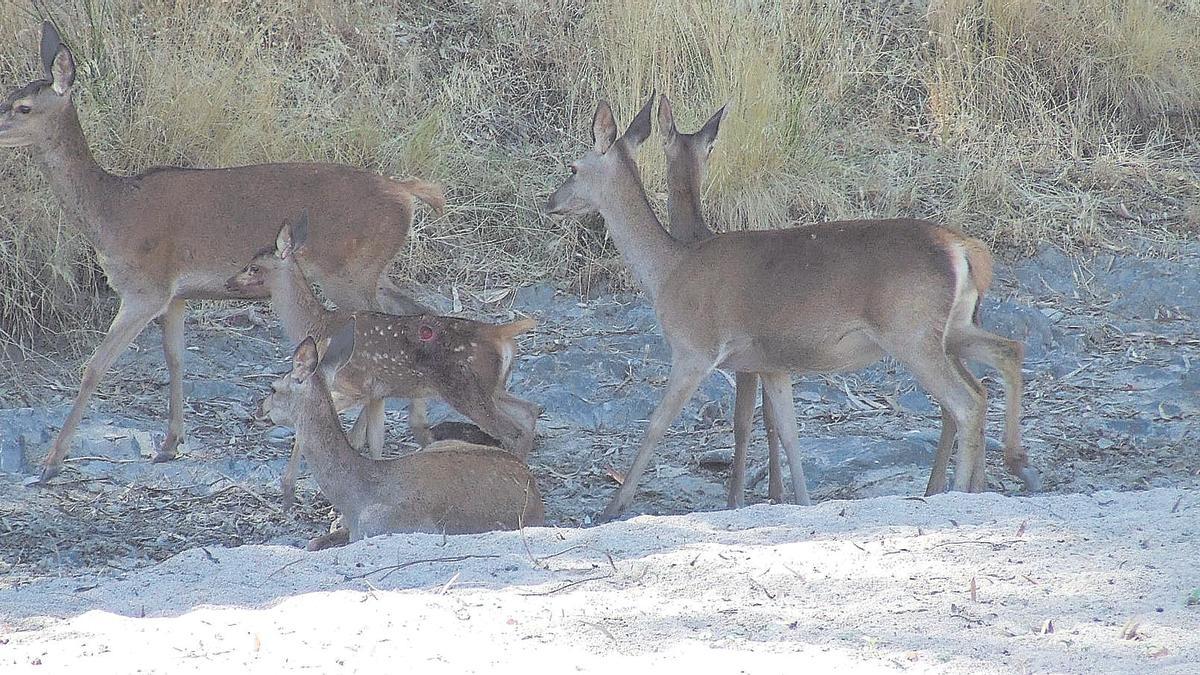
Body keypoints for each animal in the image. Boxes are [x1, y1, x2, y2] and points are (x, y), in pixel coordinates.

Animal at [0, 23, 444, 478]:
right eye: (8, 94)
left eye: (22, 107)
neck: (113, 213)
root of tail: (407, 192)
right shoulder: (176, 296)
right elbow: (175, 360)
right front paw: (169, 444)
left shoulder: (145, 289)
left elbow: (94, 366)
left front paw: (51, 462)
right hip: (374, 271)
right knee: (416, 314)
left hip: (351, 273)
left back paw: (363, 439)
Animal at [225, 212, 544, 506]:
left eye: (253, 267)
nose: (229, 282)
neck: (315, 325)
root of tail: (501, 332)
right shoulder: (377, 391)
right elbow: (370, 440)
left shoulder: (354, 384)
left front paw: (290, 489)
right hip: (493, 388)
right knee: (530, 410)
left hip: (465, 389)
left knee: (512, 429)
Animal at [264, 329, 549, 550]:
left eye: (273, 388)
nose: (259, 409)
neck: (355, 498)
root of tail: (533, 488)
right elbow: (315, 541)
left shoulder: (395, 527)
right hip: (440, 445)